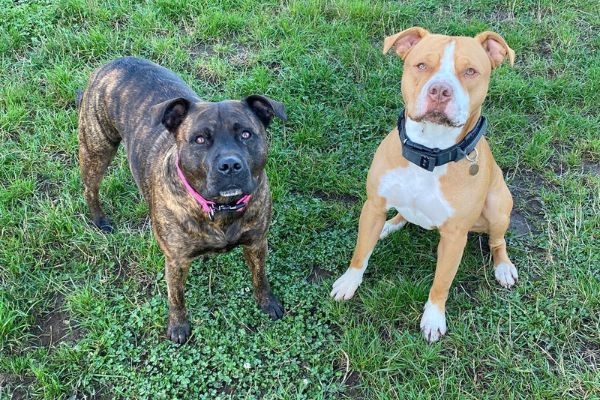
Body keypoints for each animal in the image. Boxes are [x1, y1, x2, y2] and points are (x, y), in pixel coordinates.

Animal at [77, 56, 286, 344]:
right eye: (199, 139)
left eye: (246, 134)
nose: (230, 165)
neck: (220, 208)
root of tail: (117, 60)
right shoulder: (175, 261)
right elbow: (176, 296)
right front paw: (178, 326)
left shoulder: (257, 243)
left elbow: (260, 276)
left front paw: (267, 302)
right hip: (97, 149)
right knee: (90, 188)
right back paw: (99, 219)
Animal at [330, 27, 516, 344]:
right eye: (421, 65)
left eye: (470, 71)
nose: (440, 90)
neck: (429, 152)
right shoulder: (373, 206)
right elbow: (360, 253)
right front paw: (348, 282)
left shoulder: (454, 237)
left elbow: (441, 282)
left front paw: (433, 318)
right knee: (402, 215)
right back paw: (390, 225)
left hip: (498, 206)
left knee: (497, 240)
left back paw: (503, 267)